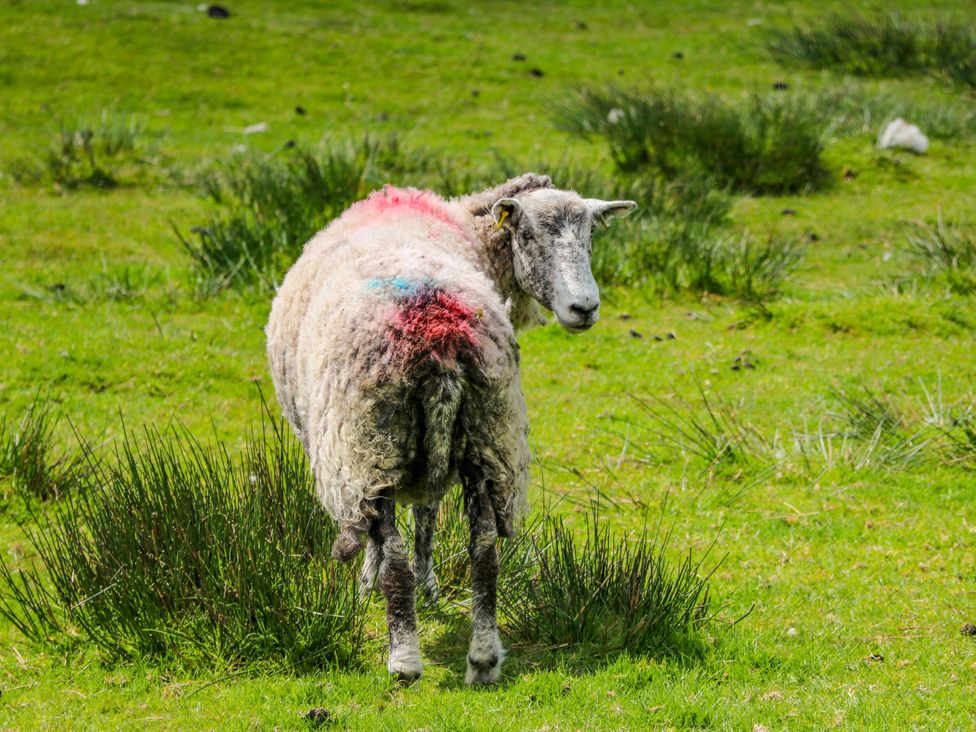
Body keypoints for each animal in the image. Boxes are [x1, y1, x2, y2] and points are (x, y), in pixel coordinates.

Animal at [266, 173, 636, 684]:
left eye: (591, 235)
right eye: (526, 235)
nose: (584, 307)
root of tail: (438, 332)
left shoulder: (356, 460)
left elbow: (389, 530)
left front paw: (370, 583)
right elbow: (428, 510)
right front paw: (430, 584)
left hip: (371, 439)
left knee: (395, 554)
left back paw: (403, 660)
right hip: (488, 434)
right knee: (484, 550)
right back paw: (483, 659)